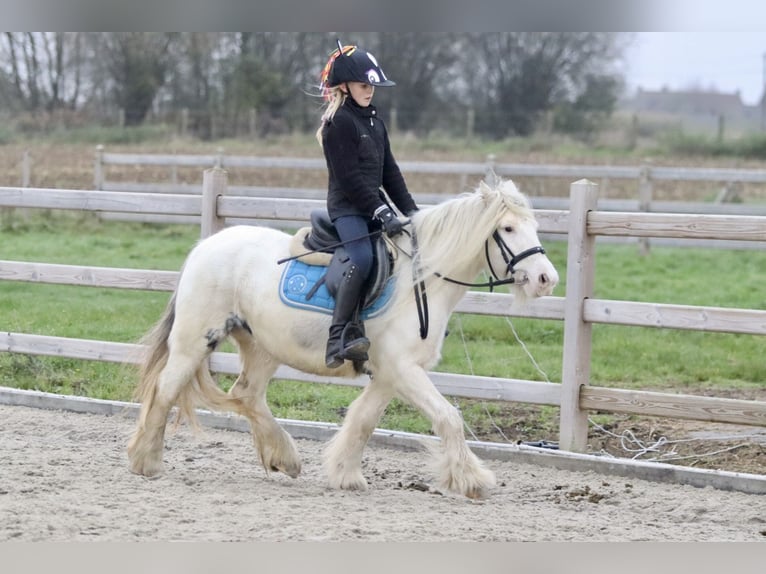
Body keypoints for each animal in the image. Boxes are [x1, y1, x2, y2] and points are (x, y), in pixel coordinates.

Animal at [124, 179, 560, 500]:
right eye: (507, 229)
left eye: (534, 227)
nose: (546, 279)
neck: (420, 281)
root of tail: (205, 247)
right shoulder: (403, 370)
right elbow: (449, 417)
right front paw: (472, 480)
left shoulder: (390, 374)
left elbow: (363, 420)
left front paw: (344, 474)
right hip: (194, 340)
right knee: (166, 389)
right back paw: (147, 461)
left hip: (262, 347)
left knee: (247, 394)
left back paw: (285, 458)